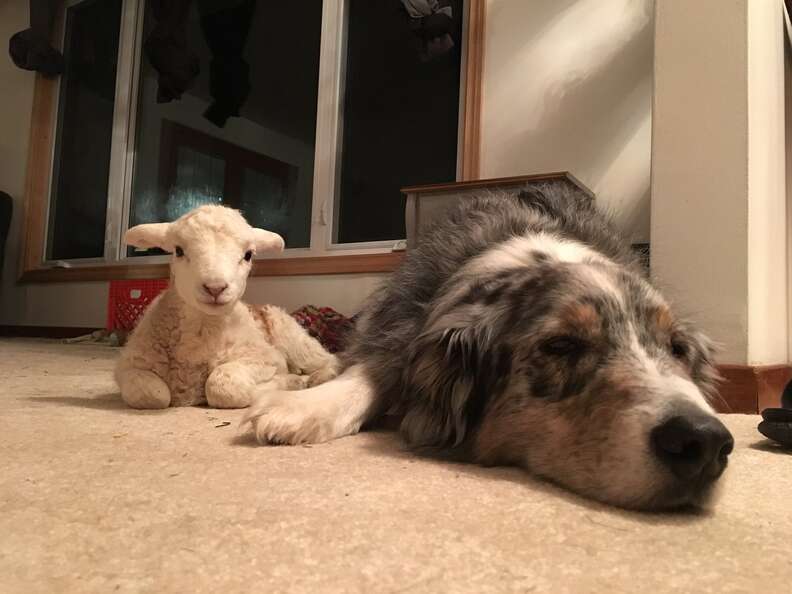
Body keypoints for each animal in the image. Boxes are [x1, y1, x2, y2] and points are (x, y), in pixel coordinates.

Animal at [116, 204, 338, 408]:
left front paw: (287, 382)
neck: (203, 331)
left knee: (329, 359)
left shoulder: (266, 358)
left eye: (248, 255)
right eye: (178, 251)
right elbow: (154, 395)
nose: (215, 288)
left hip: (296, 342)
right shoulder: (130, 367)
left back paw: (319, 377)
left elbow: (223, 387)